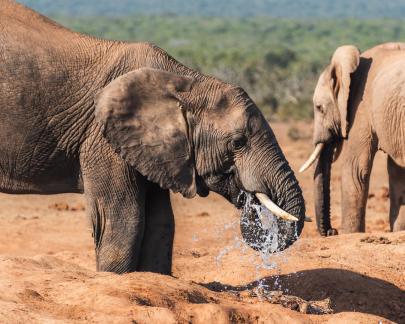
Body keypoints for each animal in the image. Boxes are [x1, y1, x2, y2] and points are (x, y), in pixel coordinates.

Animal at [0, 0, 304, 274]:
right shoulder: (104, 139)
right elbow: (124, 221)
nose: (250, 200)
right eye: (238, 142)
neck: (185, 82)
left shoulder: (156, 151)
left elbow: (162, 223)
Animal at [298, 42, 404, 235]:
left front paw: (350, 233)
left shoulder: (361, 108)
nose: (332, 231)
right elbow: (397, 171)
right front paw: (399, 231)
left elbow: (355, 169)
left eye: (319, 108)